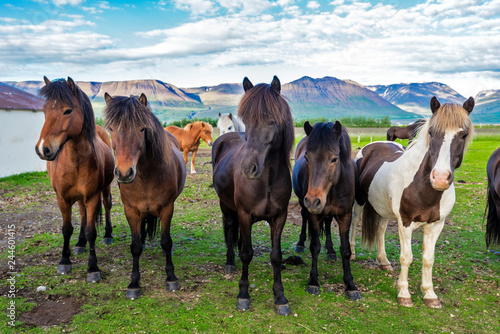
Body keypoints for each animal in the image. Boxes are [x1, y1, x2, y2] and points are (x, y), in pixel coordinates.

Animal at [35, 77, 114, 284]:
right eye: (44, 110)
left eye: (67, 111)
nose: (43, 149)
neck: (75, 161)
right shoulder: (62, 199)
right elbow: (67, 229)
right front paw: (64, 261)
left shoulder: (92, 197)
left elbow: (91, 231)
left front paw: (93, 268)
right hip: (78, 198)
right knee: (83, 214)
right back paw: (79, 244)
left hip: (105, 189)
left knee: (107, 206)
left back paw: (108, 235)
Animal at [103, 92, 186, 300]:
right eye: (112, 128)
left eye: (141, 129)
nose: (124, 173)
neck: (145, 177)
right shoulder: (131, 211)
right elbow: (135, 246)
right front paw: (134, 283)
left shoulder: (167, 209)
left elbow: (166, 242)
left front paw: (171, 277)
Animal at [212, 76, 296, 316]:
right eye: (247, 120)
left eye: (272, 121)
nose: (248, 168)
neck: (266, 181)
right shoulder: (244, 214)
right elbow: (246, 254)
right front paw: (243, 294)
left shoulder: (279, 217)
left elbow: (276, 256)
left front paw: (280, 297)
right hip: (226, 206)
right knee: (230, 229)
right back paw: (230, 263)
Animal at [292, 120, 362, 300]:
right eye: (307, 157)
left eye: (334, 159)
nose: (313, 201)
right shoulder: (314, 216)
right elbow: (315, 246)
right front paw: (313, 282)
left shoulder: (345, 216)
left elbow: (345, 249)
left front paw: (350, 285)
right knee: (303, 217)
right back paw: (300, 243)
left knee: (329, 223)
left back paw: (330, 250)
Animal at [350, 94, 474, 308]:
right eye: (432, 132)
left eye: (464, 135)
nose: (440, 178)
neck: (424, 188)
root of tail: (372, 145)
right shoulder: (405, 222)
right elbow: (406, 257)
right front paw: (404, 294)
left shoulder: (436, 225)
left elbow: (428, 259)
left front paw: (430, 294)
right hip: (359, 203)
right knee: (354, 222)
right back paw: (350, 254)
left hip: (384, 209)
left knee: (380, 230)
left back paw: (383, 261)